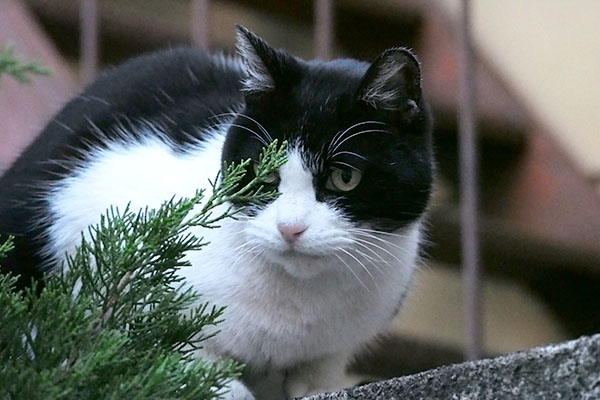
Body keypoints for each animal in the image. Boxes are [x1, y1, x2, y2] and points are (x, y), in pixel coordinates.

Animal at [0, 26, 434, 398]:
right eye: (263, 172)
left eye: (345, 178)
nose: (289, 228)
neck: (296, 312)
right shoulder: (96, 206)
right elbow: (178, 347)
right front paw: (221, 384)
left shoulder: (339, 342)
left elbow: (320, 370)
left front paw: (314, 385)